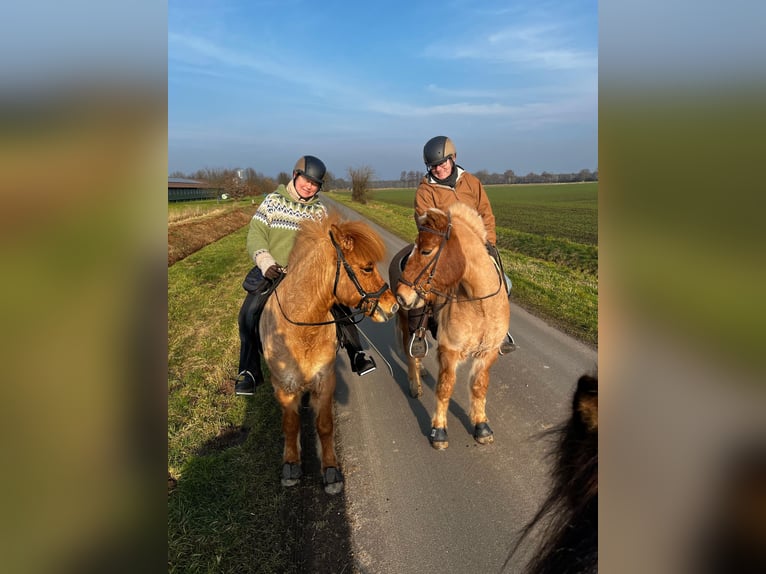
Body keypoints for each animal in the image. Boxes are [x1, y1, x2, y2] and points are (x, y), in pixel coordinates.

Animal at [260, 214, 399, 494]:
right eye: (367, 268)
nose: (393, 306)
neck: (302, 328)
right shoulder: (283, 386)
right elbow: (290, 425)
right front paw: (291, 464)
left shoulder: (326, 380)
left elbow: (324, 426)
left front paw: (332, 470)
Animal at [393, 202, 510, 449]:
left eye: (427, 251)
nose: (401, 295)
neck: (480, 304)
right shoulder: (450, 350)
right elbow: (445, 388)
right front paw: (438, 430)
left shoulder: (488, 352)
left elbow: (479, 386)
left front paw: (481, 426)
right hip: (407, 323)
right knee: (410, 353)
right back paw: (415, 384)